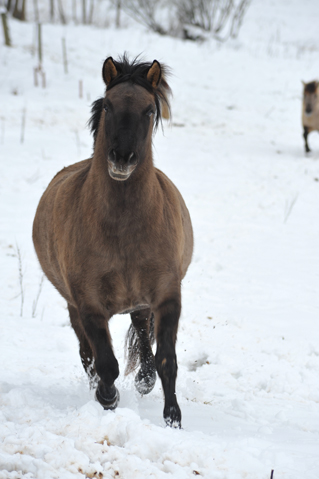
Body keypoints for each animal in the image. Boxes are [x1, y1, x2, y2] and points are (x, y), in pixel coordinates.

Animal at [32, 55, 194, 428]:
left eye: (149, 110)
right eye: (108, 104)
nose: (121, 157)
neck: (124, 232)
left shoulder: (167, 296)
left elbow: (166, 361)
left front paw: (173, 419)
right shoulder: (88, 304)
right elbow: (105, 364)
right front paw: (107, 399)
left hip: (139, 303)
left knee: (142, 337)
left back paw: (144, 380)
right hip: (75, 307)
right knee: (87, 355)